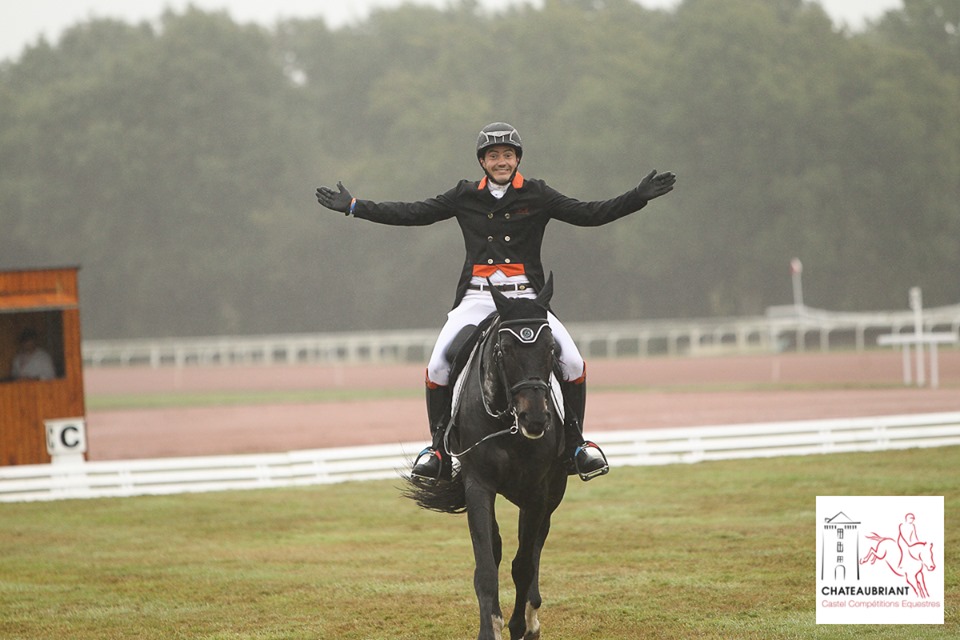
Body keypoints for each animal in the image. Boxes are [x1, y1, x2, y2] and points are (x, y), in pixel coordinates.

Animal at [406, 276, 568, 640]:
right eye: (504, 350)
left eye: (551, 349)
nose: (536, 419)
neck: (507, 422)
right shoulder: (478, 485)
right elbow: (486, 565)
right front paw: (489, 627)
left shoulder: (537, 492)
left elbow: (524, 564)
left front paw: (520, 625)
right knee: (498, 548)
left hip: (552, 493)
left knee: (536, 546)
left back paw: (532, 616)